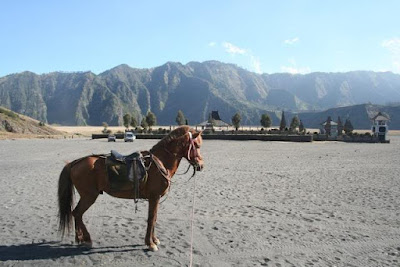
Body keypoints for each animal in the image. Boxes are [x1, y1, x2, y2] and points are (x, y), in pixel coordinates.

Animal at [57, 126, 203, 252]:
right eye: (197, 146)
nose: (201, 165)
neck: (160, 162)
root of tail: (75, 163)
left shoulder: (155, 199)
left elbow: (154, 218)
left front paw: (154, 240)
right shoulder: (154, 198)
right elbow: (151, 219)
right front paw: (150, 244)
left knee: (76, 214)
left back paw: (80, 238)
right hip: (89, 196)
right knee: (77, 213)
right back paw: (86, 239)